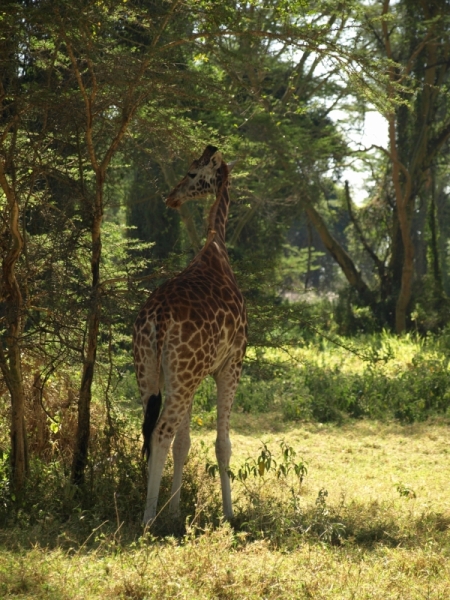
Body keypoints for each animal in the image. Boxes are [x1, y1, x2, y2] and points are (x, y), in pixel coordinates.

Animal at [134, 145, 246, 524]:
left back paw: (155, 513)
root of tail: (157, 317)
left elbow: (185, 444)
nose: (172, 197)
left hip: (150, 372)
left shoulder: (192, 375)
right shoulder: (231, 364)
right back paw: (147, 519)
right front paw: (229, 515)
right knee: (160, 432)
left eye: (193, 173)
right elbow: (222, 444)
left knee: (151, 429)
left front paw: (175, 512)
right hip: (184, 374)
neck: (216, 246)